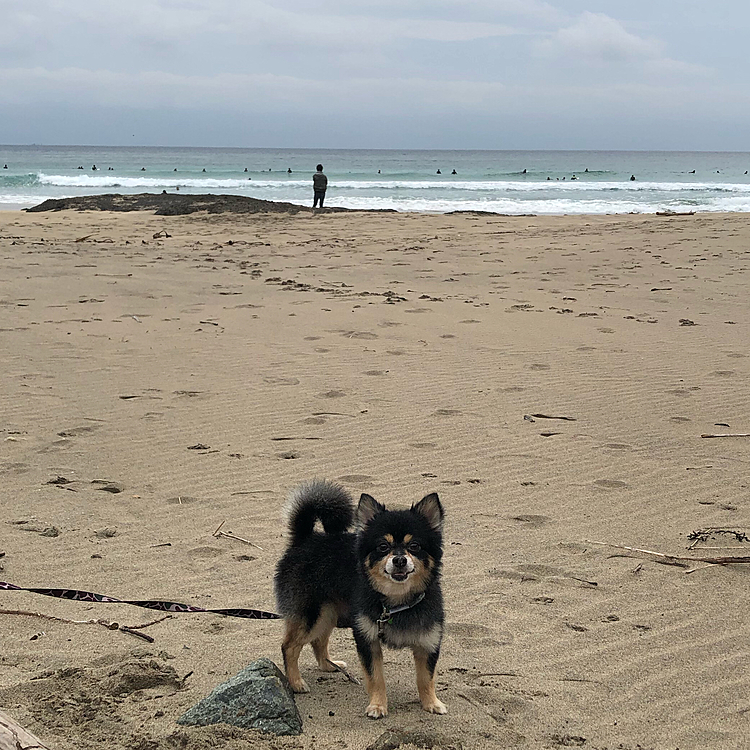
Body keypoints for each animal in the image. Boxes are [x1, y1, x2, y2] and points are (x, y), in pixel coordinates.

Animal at [274, 478, 446, 720]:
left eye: (414, 546)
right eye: (383, 546)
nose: (399, 560)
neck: (396, 602)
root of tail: (305, 539)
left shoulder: (428, 642)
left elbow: (426, 678)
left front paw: (431, 703)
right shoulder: (368, 640)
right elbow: (376, 678)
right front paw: (377, 706)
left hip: (328, 613)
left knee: (318, 640)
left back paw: (329, 665)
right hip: (312, 615)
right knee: (289, 646)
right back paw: (296, 682)